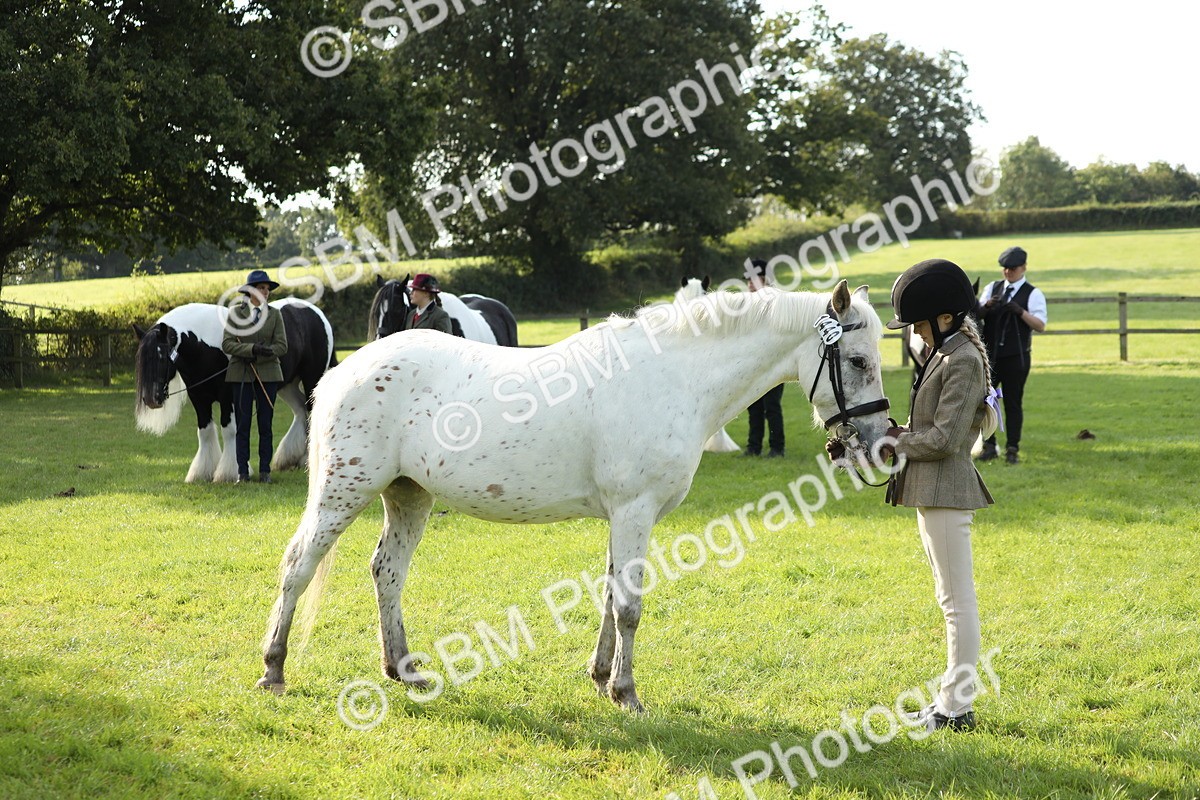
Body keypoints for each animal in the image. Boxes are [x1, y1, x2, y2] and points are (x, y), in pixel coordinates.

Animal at [133, 298, 336, 482]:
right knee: (301, 410)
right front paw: (201, 473)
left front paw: (228, 473)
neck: (205, 346)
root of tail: (316, 313)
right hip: (287, 385)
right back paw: (293, 460)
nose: (151, 399)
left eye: (161, 356)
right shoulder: (199, 398)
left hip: (312, 379)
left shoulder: (228, 397)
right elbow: (205, 432)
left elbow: (229, 430)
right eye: (142, 358)